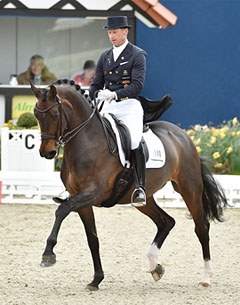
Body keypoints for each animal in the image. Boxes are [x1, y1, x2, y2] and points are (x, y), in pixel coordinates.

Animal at [31, 79, 228, 290]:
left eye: (55, 114)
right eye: (36, 114)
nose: (47, 153)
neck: (87, 141)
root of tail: (183, 136)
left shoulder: (93, 193)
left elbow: (62, 210)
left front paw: (48, 254)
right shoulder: (81, 200)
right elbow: (92, 239)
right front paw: (96, 279)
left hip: (189, 188)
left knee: (201, 228)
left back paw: (206, 277)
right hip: (144, 198)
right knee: (166, 221)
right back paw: (155, 266)